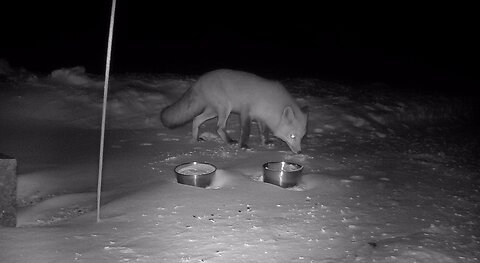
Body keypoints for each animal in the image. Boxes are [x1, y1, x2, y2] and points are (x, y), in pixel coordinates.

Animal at [161, 69, 308, 154]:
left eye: (301, 137)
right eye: (292, 136)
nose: (300, 152)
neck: (270, 103)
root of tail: (199, 81)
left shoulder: (261, 117)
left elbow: (264, 132)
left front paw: (266, 143)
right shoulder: (246, 112)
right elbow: (246, 131)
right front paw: (243, 146)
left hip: (213, 111)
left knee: (196, 119)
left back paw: (195, 139)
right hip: (225, 109)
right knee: (219, 127)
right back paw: (230, 141)